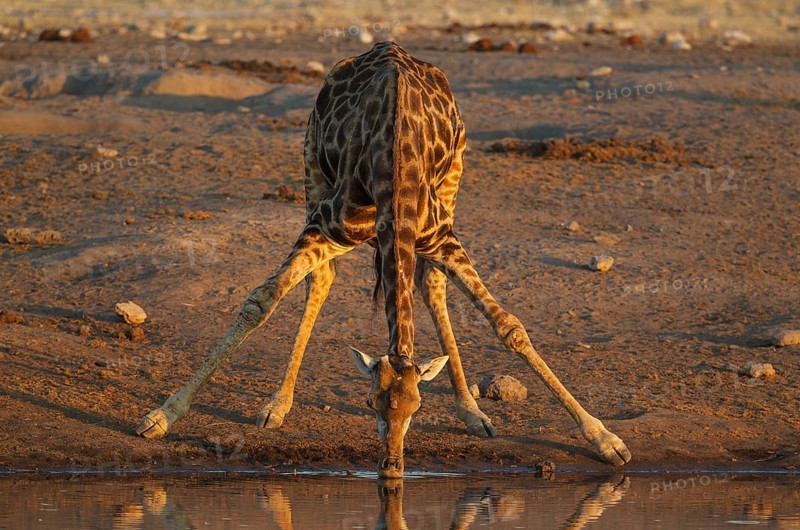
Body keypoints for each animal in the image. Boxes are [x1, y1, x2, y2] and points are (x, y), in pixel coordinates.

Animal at [136, 41, 631, 477]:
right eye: (369, 403)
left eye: (417, 406)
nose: (391, 466)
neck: (395, 166)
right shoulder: (325, 224)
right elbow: (261, 300)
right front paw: (162, 415)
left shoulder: (442, 236)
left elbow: (508, 326)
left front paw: (606, 440)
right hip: (311, 165)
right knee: (323, 277)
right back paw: (279, 404)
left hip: (454, 176)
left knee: (431, 283)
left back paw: (473, 413)